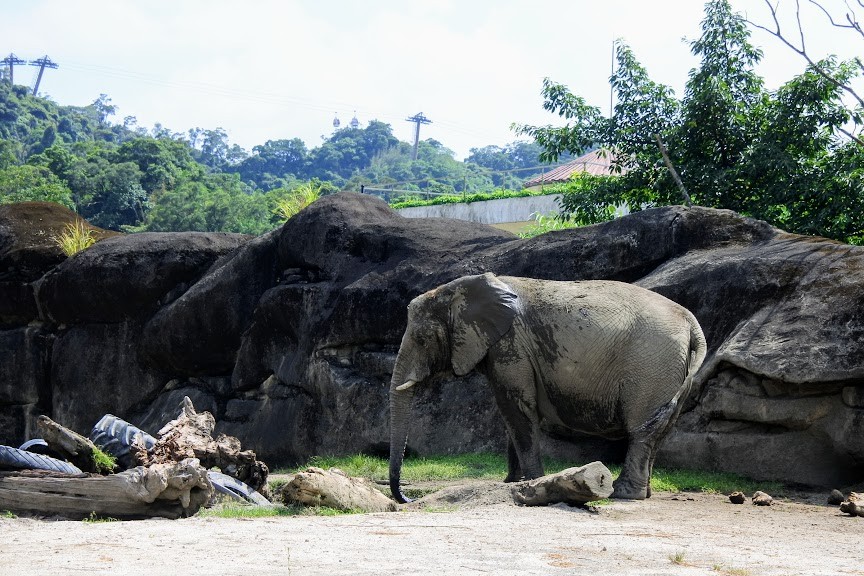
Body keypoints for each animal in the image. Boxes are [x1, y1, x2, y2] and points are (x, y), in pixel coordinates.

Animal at [388, 272, 704, 502]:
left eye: (422, 338)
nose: (407, 499)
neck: (461, 288)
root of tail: (692, 323)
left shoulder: (511, 344)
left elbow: (516, 409)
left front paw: (528, 482)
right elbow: (511, 413)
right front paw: (512, 482)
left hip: (651, 365)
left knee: (641, 430)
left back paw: (623, 493)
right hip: (672, 371)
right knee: (658, 431)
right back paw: (642, 492)